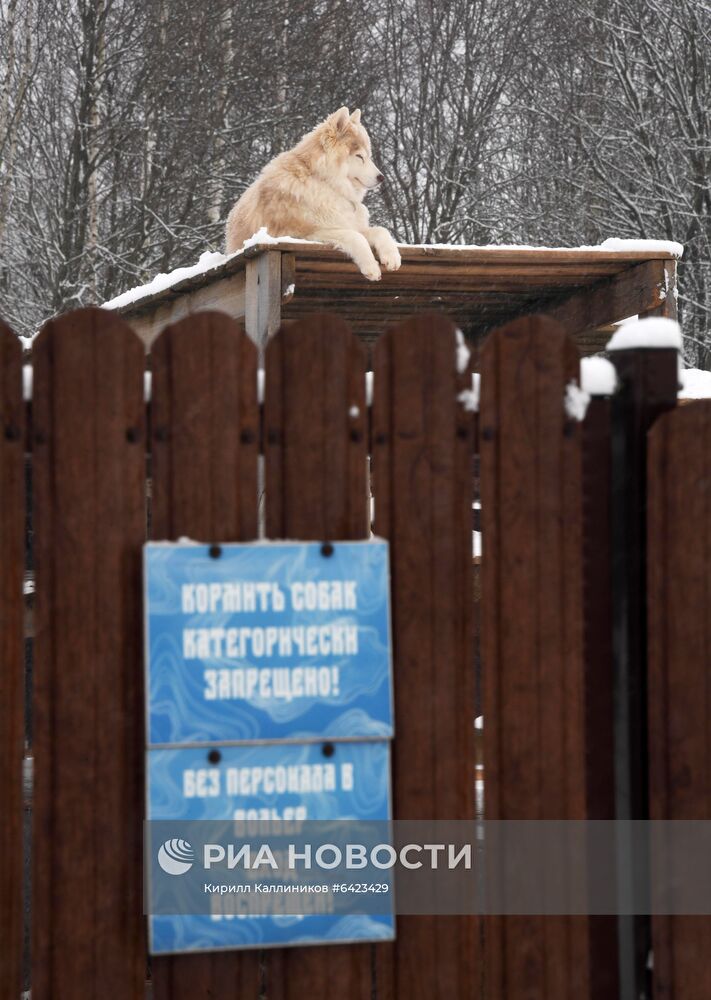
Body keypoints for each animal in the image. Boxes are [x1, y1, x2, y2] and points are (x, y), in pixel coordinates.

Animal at [225, 108, 400, 282]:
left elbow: (380, 230)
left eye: (368, 156)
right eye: (359, 156)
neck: (324, 182)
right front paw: (371, 266)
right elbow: (356, 237)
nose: (382, 177)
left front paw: (392, 256)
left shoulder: (346, 222)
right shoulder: (304, 233)